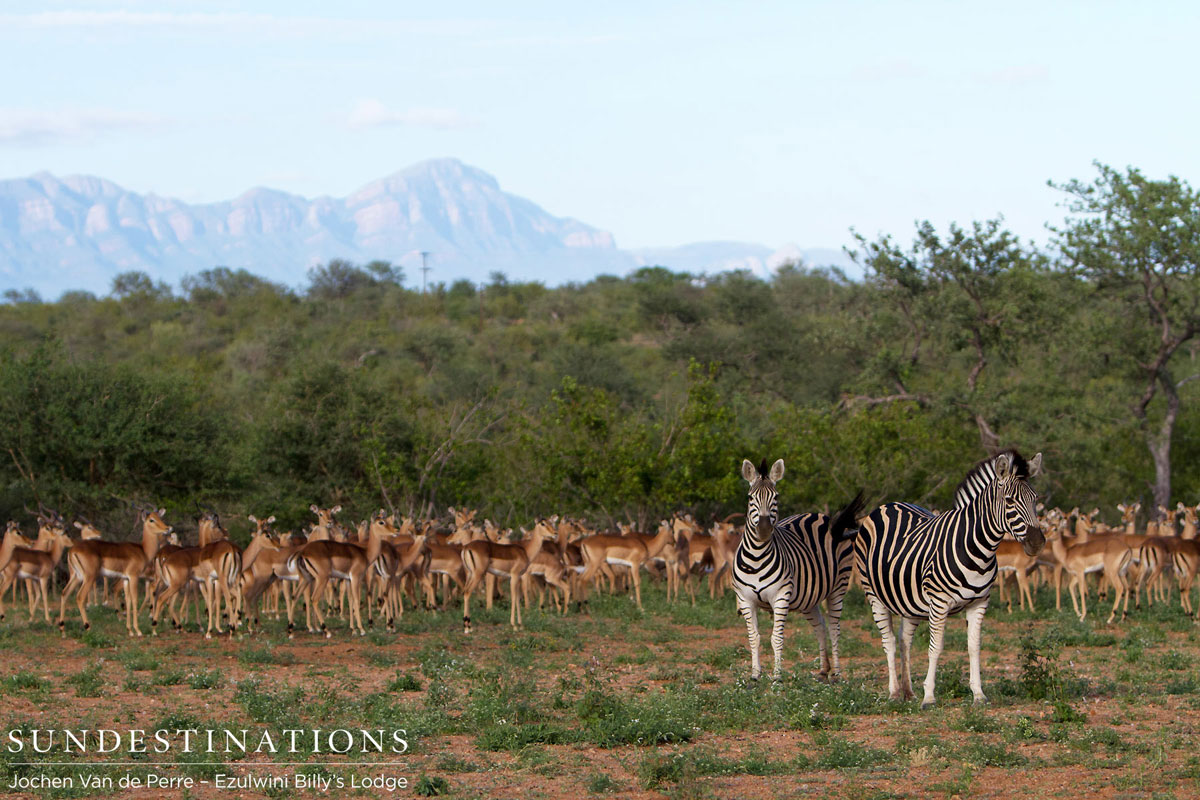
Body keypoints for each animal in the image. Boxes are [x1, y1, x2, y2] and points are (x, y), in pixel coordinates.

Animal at [58, 506, 171, 637]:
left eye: (160, 517)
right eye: (151, 520)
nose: (167, 528)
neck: (143, 550)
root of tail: (72, 550)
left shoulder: (126, 578)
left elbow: (127, 601)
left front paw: (129, 630)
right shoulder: (134, 576)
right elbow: (134, 600)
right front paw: (138, 631)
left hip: (76, 576)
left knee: (64, 593)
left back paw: (62, 630)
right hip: (89, 577)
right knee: (80, 597)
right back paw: (88, 627)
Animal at [734, 457, 864, 682]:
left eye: (776, 497)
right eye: (750, 497)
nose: (764, 528)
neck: (757, 557)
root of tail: (821, 515)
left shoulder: (781, 596)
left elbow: (776, 638)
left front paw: (777, 677)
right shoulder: (745, 599)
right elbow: (754, 638)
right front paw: (755, 675)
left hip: (838, 586)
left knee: (834, 628)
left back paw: (837, 673)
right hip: (808, 597)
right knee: (820, 626)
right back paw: (823, 670)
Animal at [855, 449, 1044, 708]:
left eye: (1035, 499)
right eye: (1009, 501)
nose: (1037, 542)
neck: (977, 547)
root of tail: (889, 504)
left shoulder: (979, 603)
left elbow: (974, 647)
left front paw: (978, 694)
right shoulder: (939, 603)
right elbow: (936, 648)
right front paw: (929, 697)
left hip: (909, 601)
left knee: (904, 640)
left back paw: (908, 692)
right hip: (874, 595)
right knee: (889, 641)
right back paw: (894, 693)